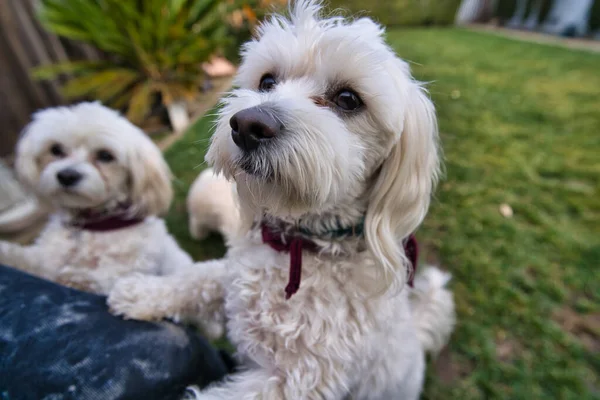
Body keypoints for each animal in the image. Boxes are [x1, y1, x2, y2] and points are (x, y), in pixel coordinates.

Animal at [0, 103, 192, 296]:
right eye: (55, 149)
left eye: (105, 155)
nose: (67, 176)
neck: (92, 224)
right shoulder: (47, 258)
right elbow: (29, 259)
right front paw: (6, 253)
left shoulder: (135, 265)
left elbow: (109, 277)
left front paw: (78, 277)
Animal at [109, 1, 454, 398]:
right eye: (267, 82)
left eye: (348, 99)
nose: (247, 126)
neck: (297, 246)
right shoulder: (232, 278)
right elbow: (198, 278)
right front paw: (140, 292)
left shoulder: (296, 380)